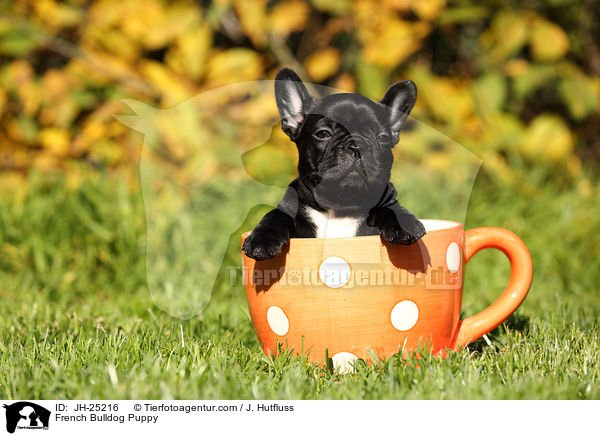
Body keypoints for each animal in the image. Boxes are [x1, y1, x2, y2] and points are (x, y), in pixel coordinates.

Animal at [241, 66, 424, 260]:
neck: (339, 208)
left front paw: (406, 224)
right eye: (323, 133)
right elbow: (275, 215)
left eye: (383, 138)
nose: (357, 145)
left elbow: (391, 208)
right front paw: (262, 239)